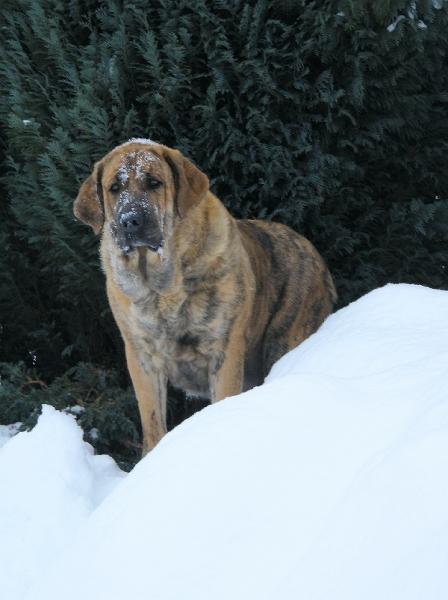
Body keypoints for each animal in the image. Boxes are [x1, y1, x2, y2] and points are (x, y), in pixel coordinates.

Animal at [74, 139, 336, 454]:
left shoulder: (224, 351)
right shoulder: (141, 356)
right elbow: (152, 420)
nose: (131, 220)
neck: (162, 286)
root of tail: (315, 254)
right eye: (114, 188)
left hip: (285, 337)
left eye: (154, 182)